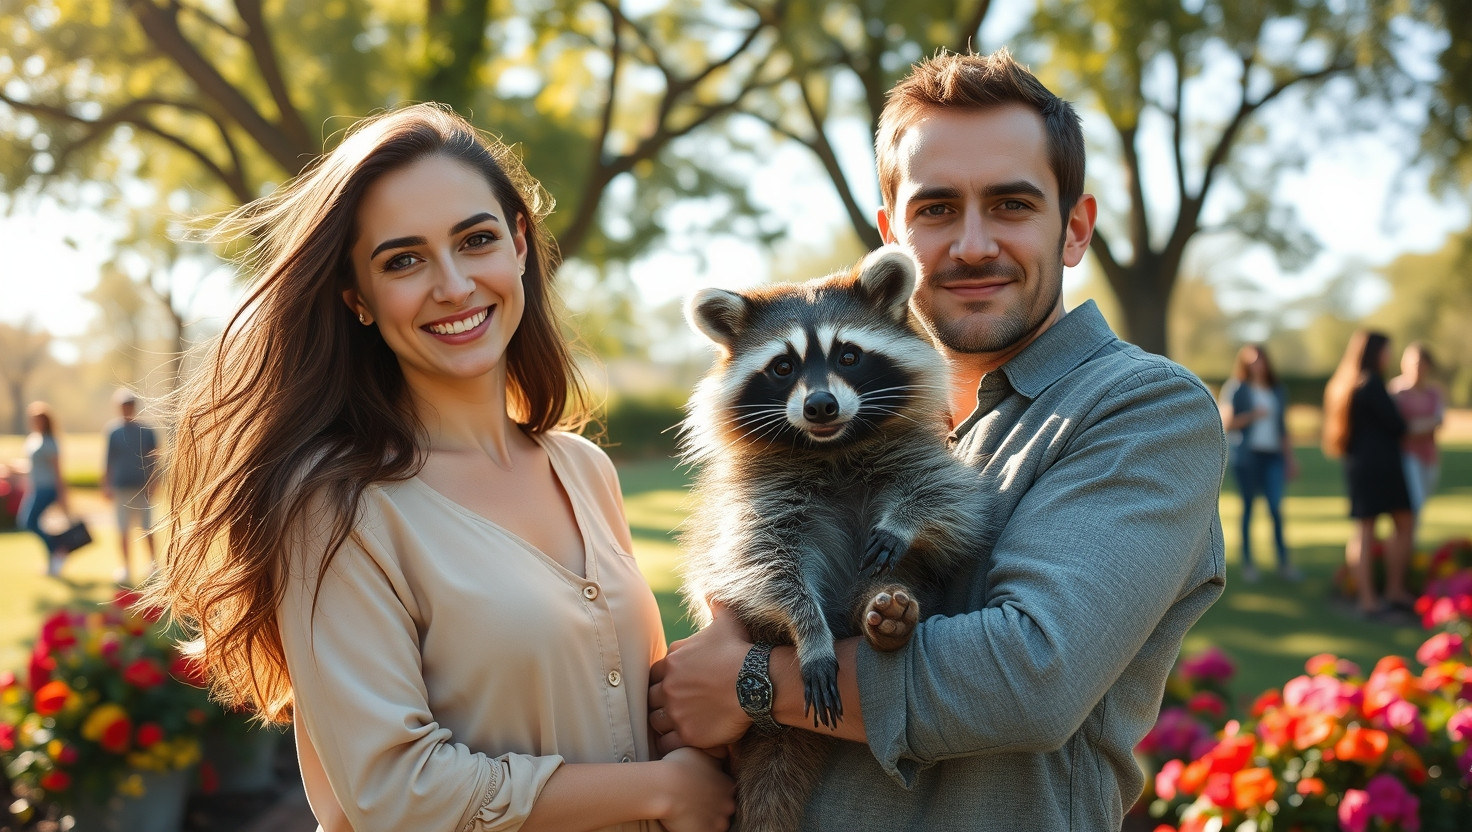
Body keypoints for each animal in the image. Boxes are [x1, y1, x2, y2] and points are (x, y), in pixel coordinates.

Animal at [679, 245, 992, 831]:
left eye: (848, 355)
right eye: (783, 366)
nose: (820, 405)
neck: (831, 447)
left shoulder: (917, 454)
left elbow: (947, 501)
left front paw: (903, 521)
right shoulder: (758, 499)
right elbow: (762, 564)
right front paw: (810, 631)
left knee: (895, 575)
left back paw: (886, 613)